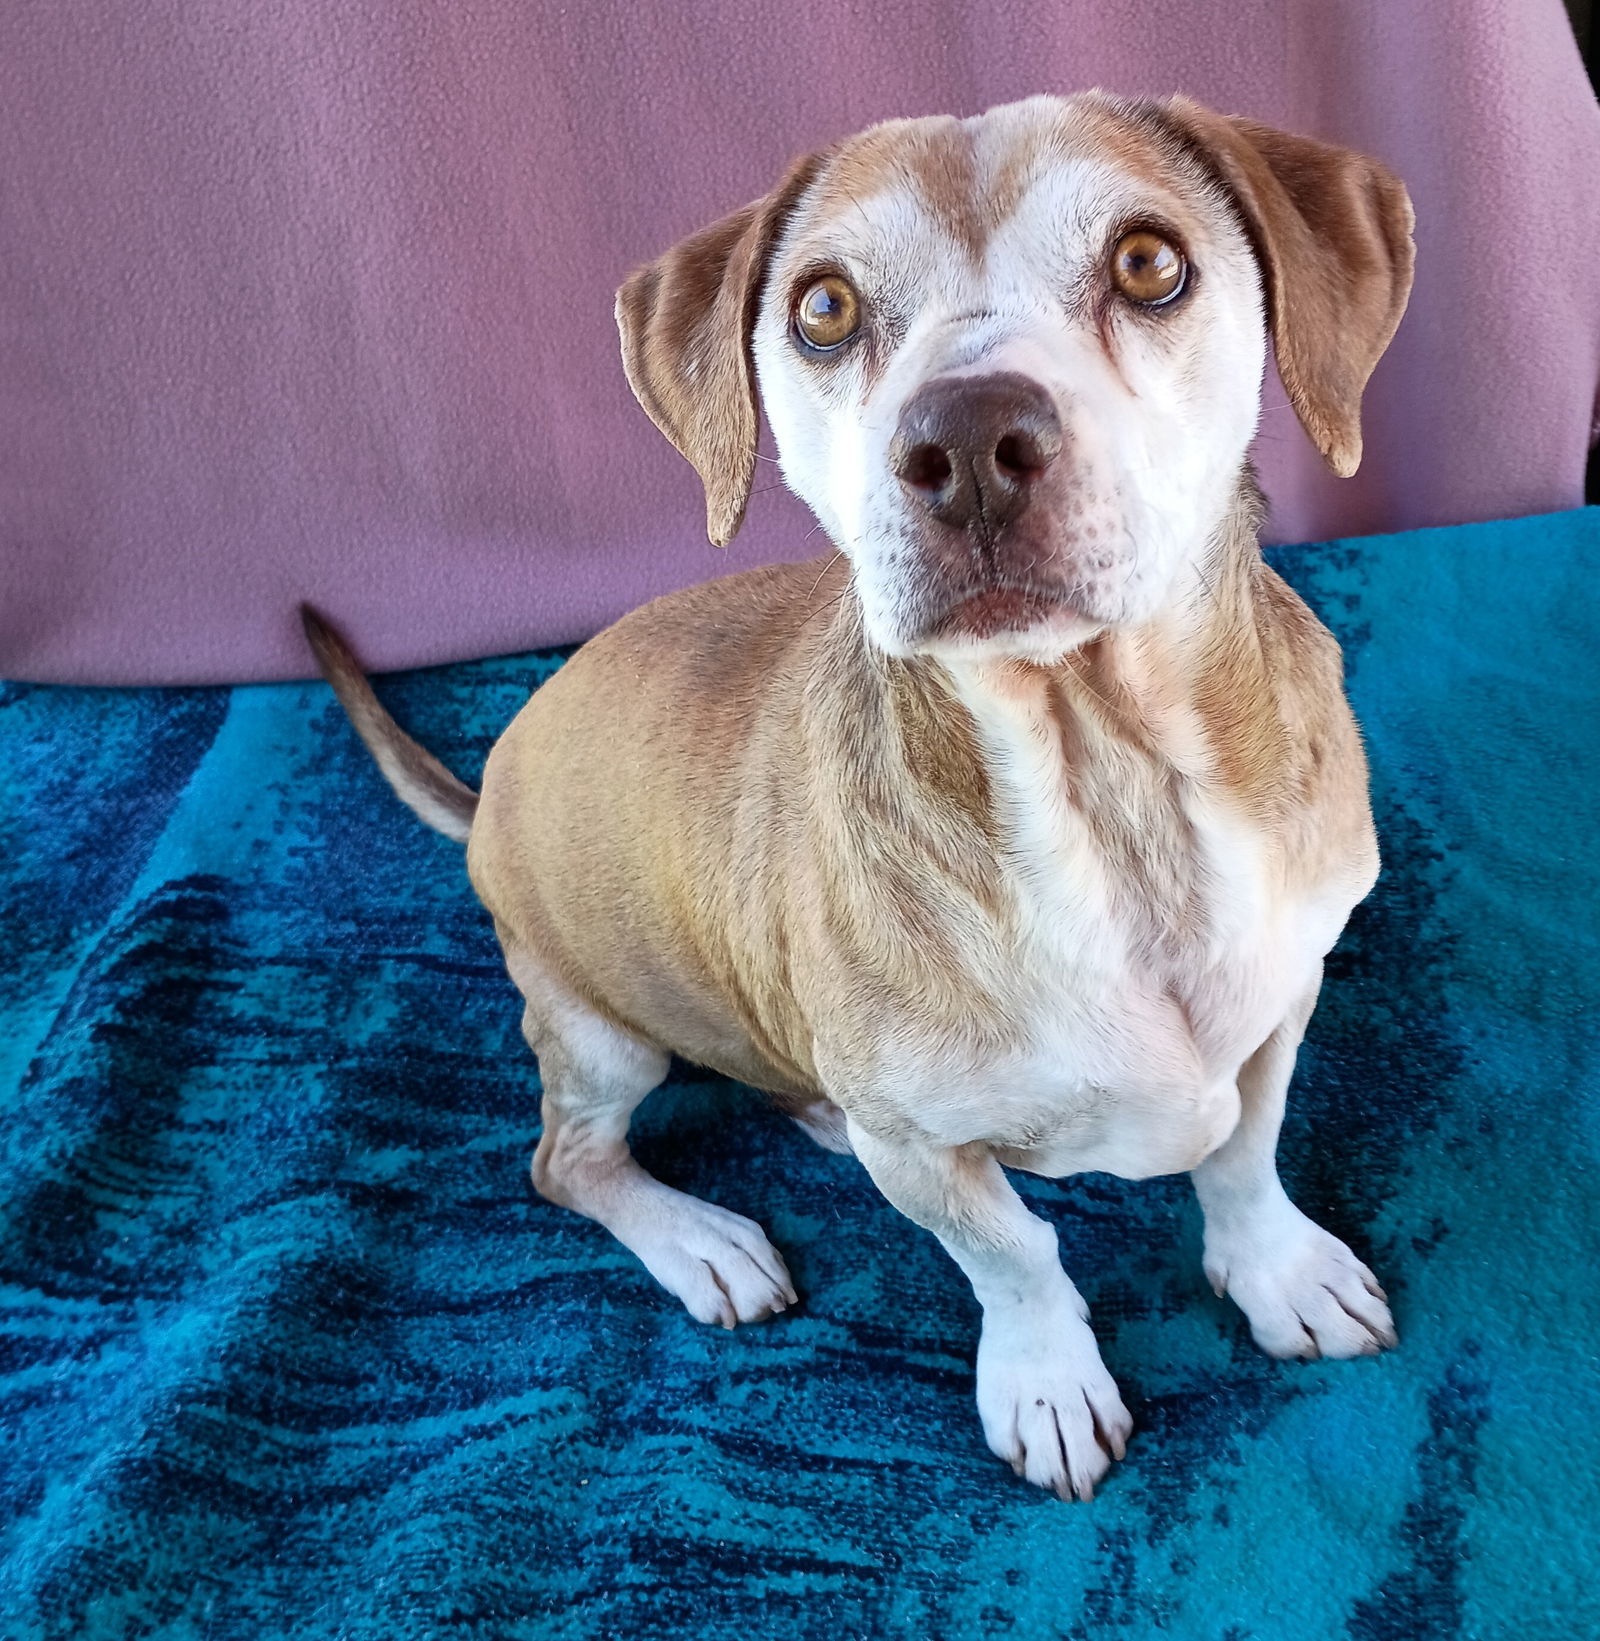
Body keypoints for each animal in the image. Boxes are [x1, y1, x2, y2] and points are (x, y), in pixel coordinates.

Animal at [300, 89, 1411, 1503]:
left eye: (1149, 262)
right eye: (822, 307)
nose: (967, 442)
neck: (1108, 792)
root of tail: (493, 775)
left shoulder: (1281, 1004)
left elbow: (1242, 1155)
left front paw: (1275, 1269)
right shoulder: (929, 1162)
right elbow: (1015, 1257)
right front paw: (1048, 1379)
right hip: (602, 1036)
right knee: (567, 1161)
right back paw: (700, 1240)